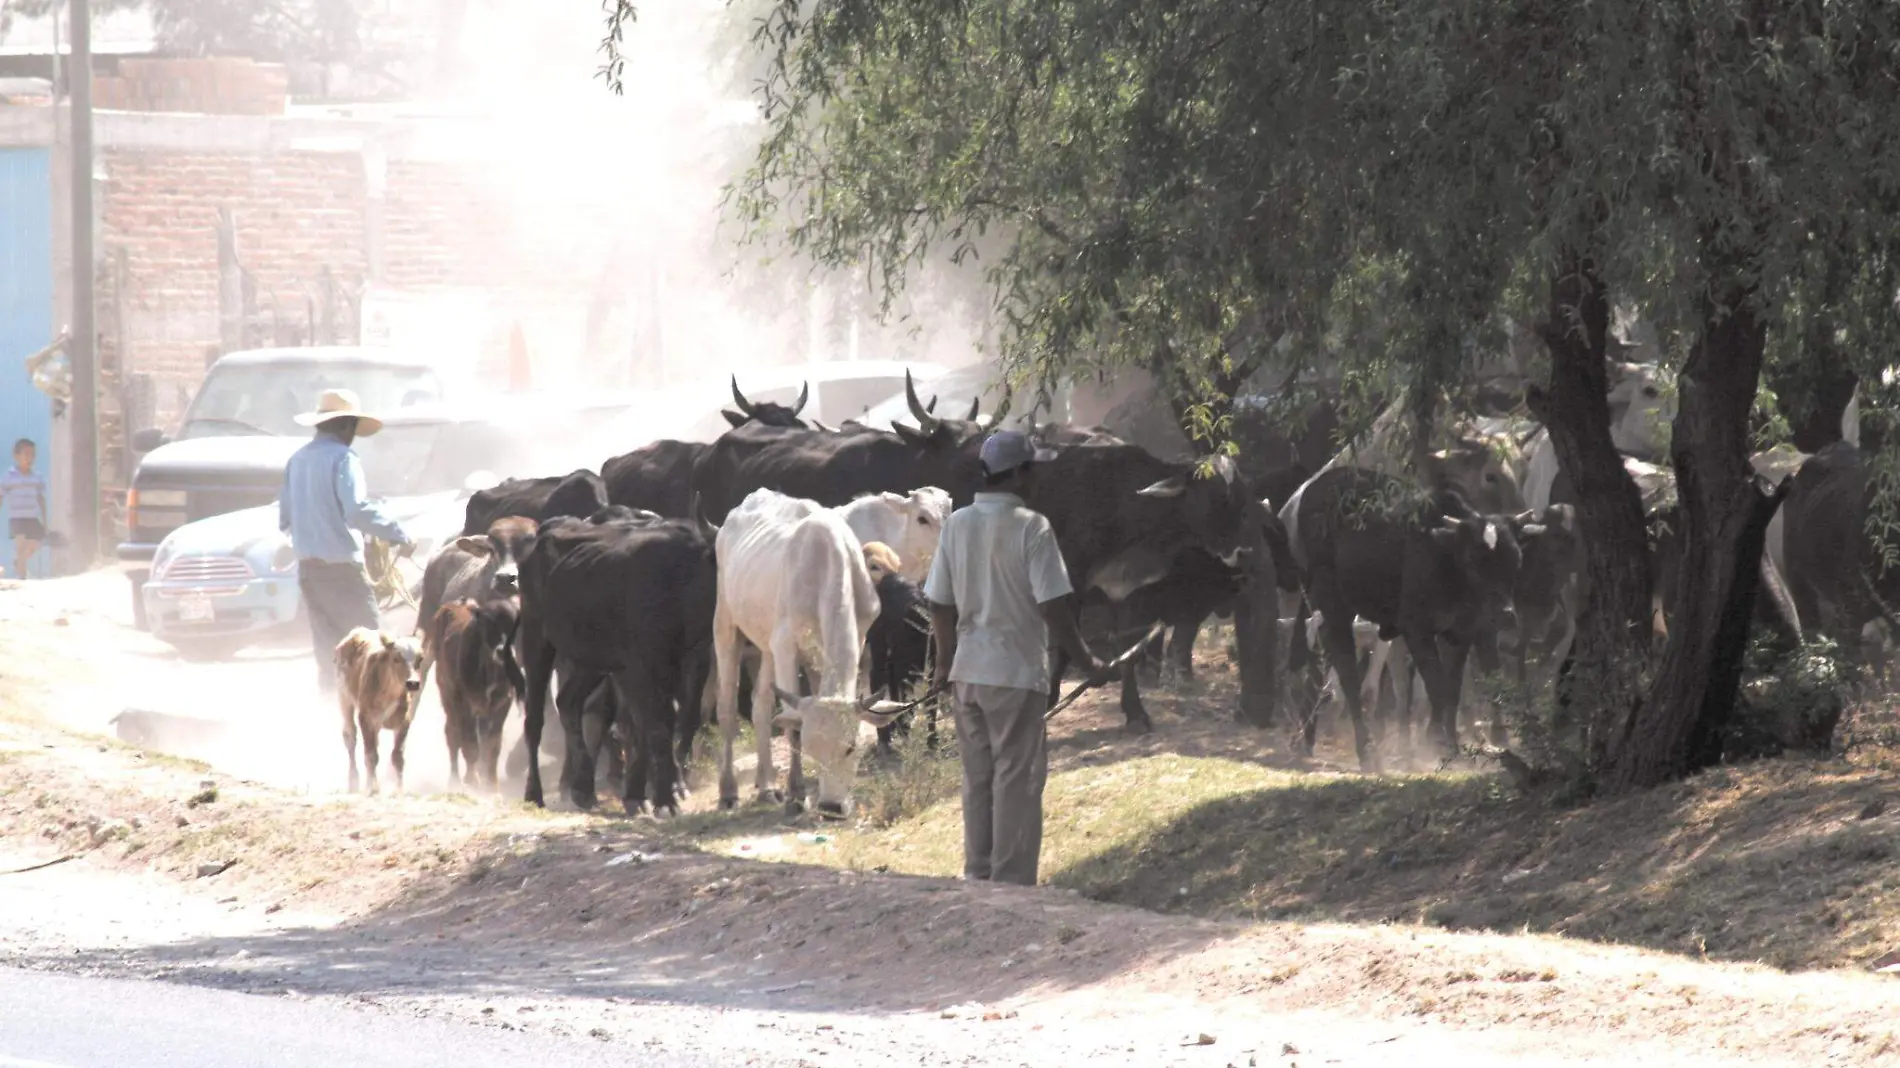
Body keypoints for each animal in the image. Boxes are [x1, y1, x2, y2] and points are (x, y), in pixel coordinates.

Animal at [343, 623, 433, 790]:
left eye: (420, 659)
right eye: (396, 658)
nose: (412, 683)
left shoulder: (403, 722)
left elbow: (397, 757)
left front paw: (399, 790)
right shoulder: (366, 719)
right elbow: (371, 756)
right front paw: (374, 789)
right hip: (344, 699)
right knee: (350, 736)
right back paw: (354, 781)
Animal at [427, 600, 524, 790]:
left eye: (513, 625)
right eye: (488, 625)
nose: (503, 650)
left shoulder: (503, 704)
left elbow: (492, 745)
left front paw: (492, 786)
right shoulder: (465, 704)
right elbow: (470, 743)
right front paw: (472, 781)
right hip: (448, 697)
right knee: (453, 734)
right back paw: (454, 781)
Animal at [516, 505, 714, 805]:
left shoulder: (696, 655)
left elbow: (685, 716)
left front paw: (671, 785)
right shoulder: (641, 664)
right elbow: (653, 721)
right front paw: (655, 792)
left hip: (590, 659)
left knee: (569, 702)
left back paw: (583, 787)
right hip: (537, 639)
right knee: (535, 720)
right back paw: (534, 792)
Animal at [714, 486, 896, 809]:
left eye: (850, 747)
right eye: (813, 749)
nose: (831, 808)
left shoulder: (853, 636)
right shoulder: (786, 646)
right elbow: (794, 725)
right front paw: (796, 792)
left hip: (767, 645)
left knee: (761, 706)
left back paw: (767, 786)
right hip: (725, 622)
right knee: (727, 707)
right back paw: (728, 791)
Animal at [1299, 465, 1535, 763]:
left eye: (1516, 559)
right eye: (1473, 560)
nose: (1503, 615)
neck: (1445, 558)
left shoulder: (1462, 632)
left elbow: (1452, 688)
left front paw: (1449, 743)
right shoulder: (1416, 630)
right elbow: (1437, 686)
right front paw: (1439, 742)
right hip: (1332, 601)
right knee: (1347, 671)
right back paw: (1367, 751)